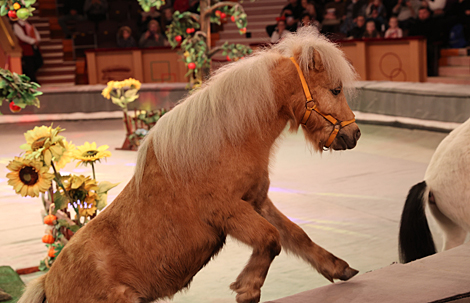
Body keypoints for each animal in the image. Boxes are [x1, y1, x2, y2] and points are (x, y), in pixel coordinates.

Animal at [19, 26, 360, 303]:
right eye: (335, 89)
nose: (353, 134)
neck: (223, 142)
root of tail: (48, 284)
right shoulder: (228, 212)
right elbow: (270, 240)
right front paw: (247, 288)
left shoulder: (257, 202)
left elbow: (295, 236)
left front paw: (338, 267)